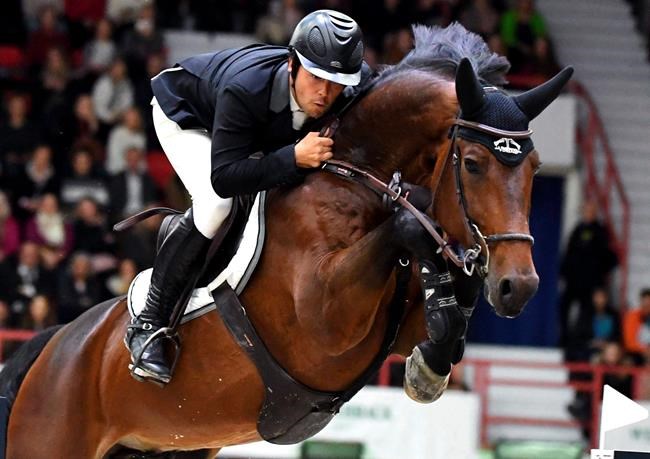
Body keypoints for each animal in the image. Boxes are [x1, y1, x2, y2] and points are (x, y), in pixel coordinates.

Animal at [0, 24, 572, 458]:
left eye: (535, 170)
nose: (519, 287)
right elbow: (409, 231)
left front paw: (427, 368)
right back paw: (148, 346)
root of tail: (55, 345)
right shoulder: (325, 316)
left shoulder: (399, 327)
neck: (354, 175)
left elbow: (444, 314)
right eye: (473, 164)